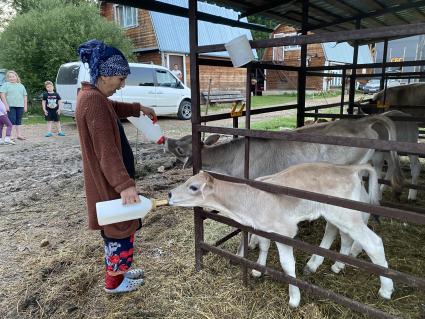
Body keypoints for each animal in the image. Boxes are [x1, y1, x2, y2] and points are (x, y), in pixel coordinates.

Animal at [168, 164, 394, 308]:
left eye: (193, 187)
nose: (169, 194)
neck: (249, 201)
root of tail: (349, 169)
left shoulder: (284, 231)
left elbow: (287, 264)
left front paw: (294, 298)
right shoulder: (264, 227)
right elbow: (264, 246)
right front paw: (258, 270)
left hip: (347, 215)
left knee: (373, 242)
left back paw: (386, 289)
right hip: (338, 215)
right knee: (340, 234)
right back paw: (335, 265)